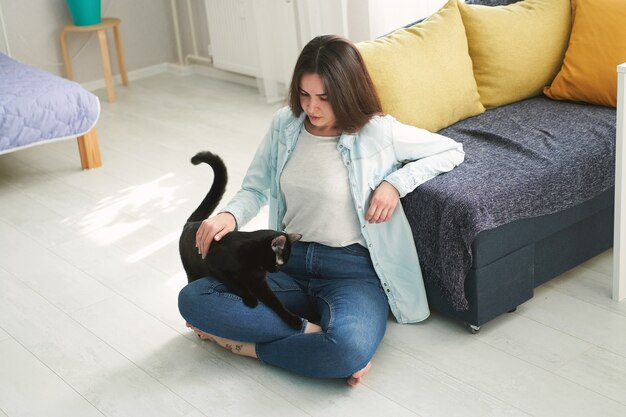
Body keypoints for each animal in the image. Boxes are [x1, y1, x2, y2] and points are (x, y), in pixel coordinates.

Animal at [178, 150, 302, 328]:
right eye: (279, 263)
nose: (276, 271)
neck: (255, 262)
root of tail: (191, 223)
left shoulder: (259, 283)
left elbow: (276, 302)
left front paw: (292, 319)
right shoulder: (216, 265)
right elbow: (236, 284)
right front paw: (251, 300)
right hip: (193, 271)